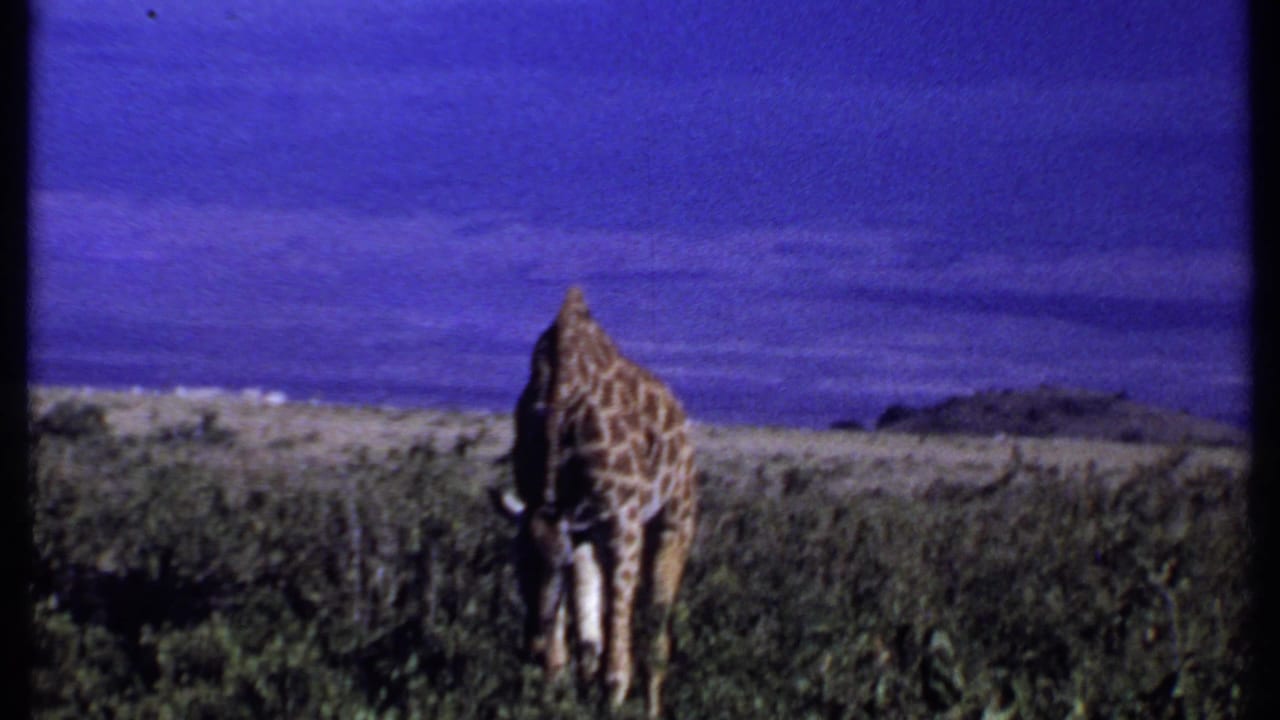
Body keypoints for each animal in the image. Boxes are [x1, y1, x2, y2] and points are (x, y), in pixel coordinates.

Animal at [491, 285, 698, 718]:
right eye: (516, 566)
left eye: (559, 566)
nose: (530, 642)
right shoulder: (568, 524)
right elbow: (566, 654)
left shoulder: (623, 520)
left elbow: (615, 670)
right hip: (593, 527)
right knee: (592, 639)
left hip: (676, 514)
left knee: (655, 637)